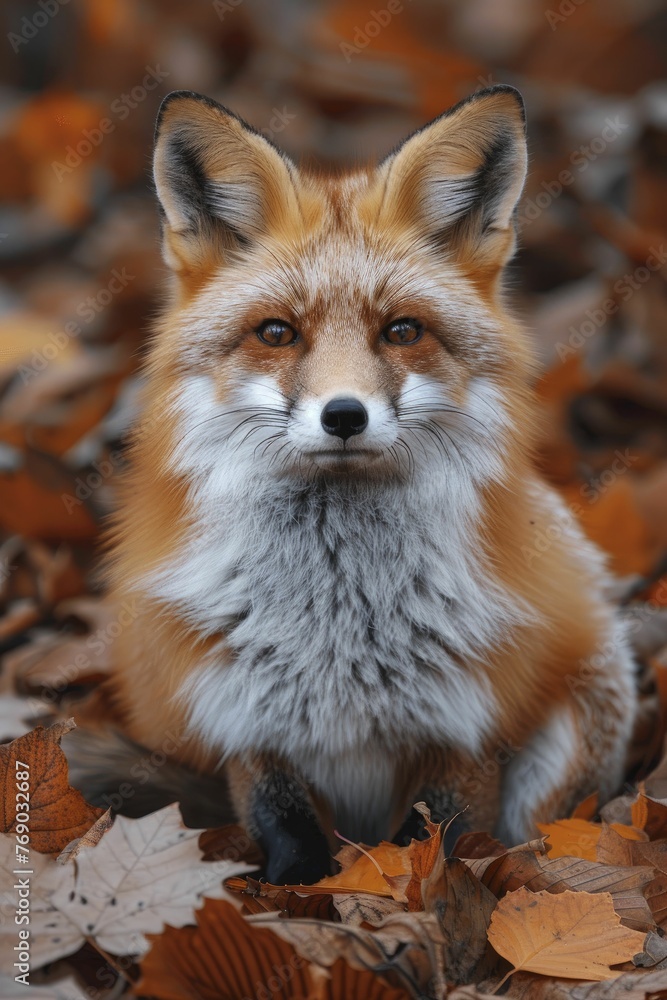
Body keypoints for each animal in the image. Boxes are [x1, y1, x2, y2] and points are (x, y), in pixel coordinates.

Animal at [79, 85, 637, 884]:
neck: (339, 623)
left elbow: (437, 842)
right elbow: (288, 839)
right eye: (276, 333)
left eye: (401, 331)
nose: (344, 415)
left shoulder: (469, 724)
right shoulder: (245, 721)